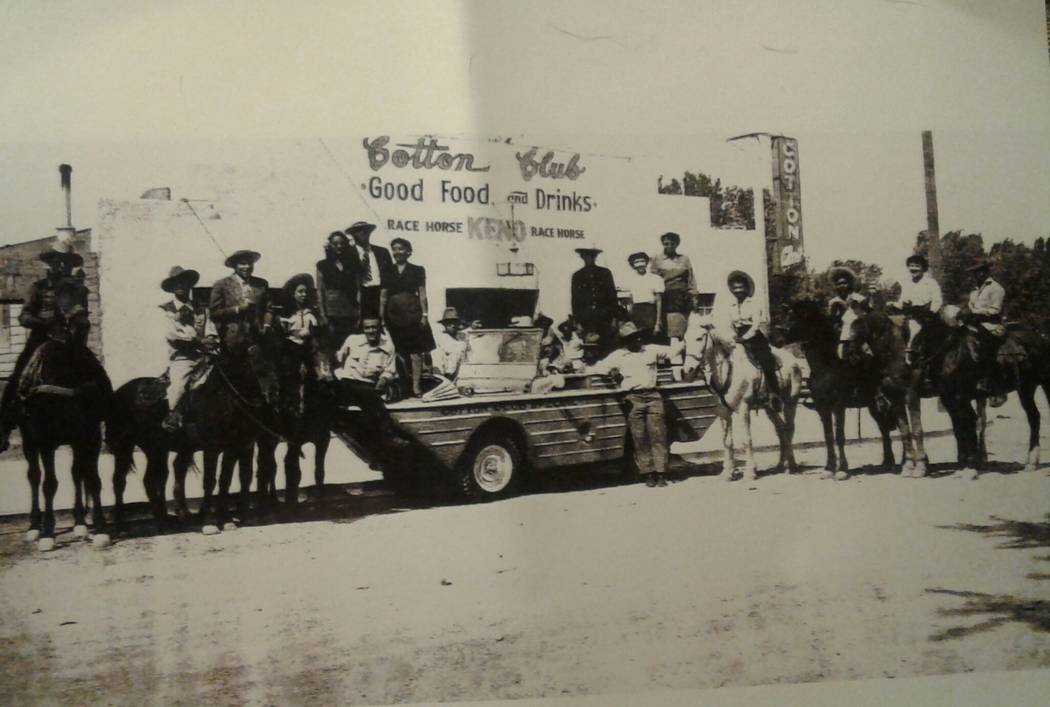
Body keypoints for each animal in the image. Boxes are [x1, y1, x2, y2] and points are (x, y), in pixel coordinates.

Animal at [688, 323, 802, 483]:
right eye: (684, 339)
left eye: (699, 338)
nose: (688, 370)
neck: (729, 371)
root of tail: (794, 360)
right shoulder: (723, 412)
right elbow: (727, 441)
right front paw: (727, 473)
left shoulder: (743, 408)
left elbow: (746, 440)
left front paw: (750, 473)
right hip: (770, 408)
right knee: (781, 430)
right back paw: (780, 465)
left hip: (791, 401)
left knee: (790, 428)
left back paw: (791, 465)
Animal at [785, 300, 898, 476]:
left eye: (799, 317)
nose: (778, 335)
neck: (826, 368)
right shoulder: (822, 407)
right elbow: (828, 436)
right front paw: (829, 467)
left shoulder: (838, 406)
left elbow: (839, 435)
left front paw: (842, 469)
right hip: (873, 406)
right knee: (884, 429)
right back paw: (887, 462)